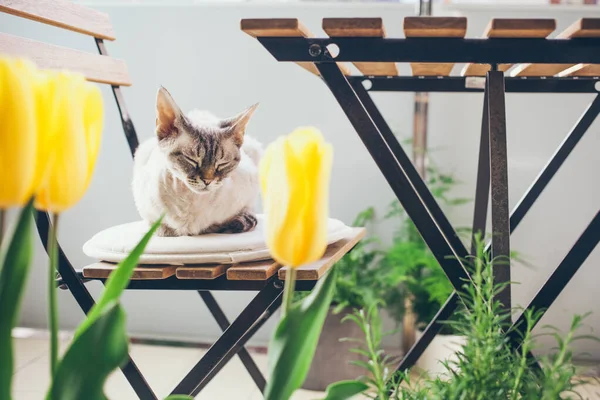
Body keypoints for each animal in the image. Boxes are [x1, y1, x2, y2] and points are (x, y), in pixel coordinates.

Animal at [132, 86, 262, 238]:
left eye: (222, 164)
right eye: (191, 160)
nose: (207, 181)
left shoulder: (250, 192)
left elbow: (246, 212)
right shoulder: (148, 213)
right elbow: (161, 229)